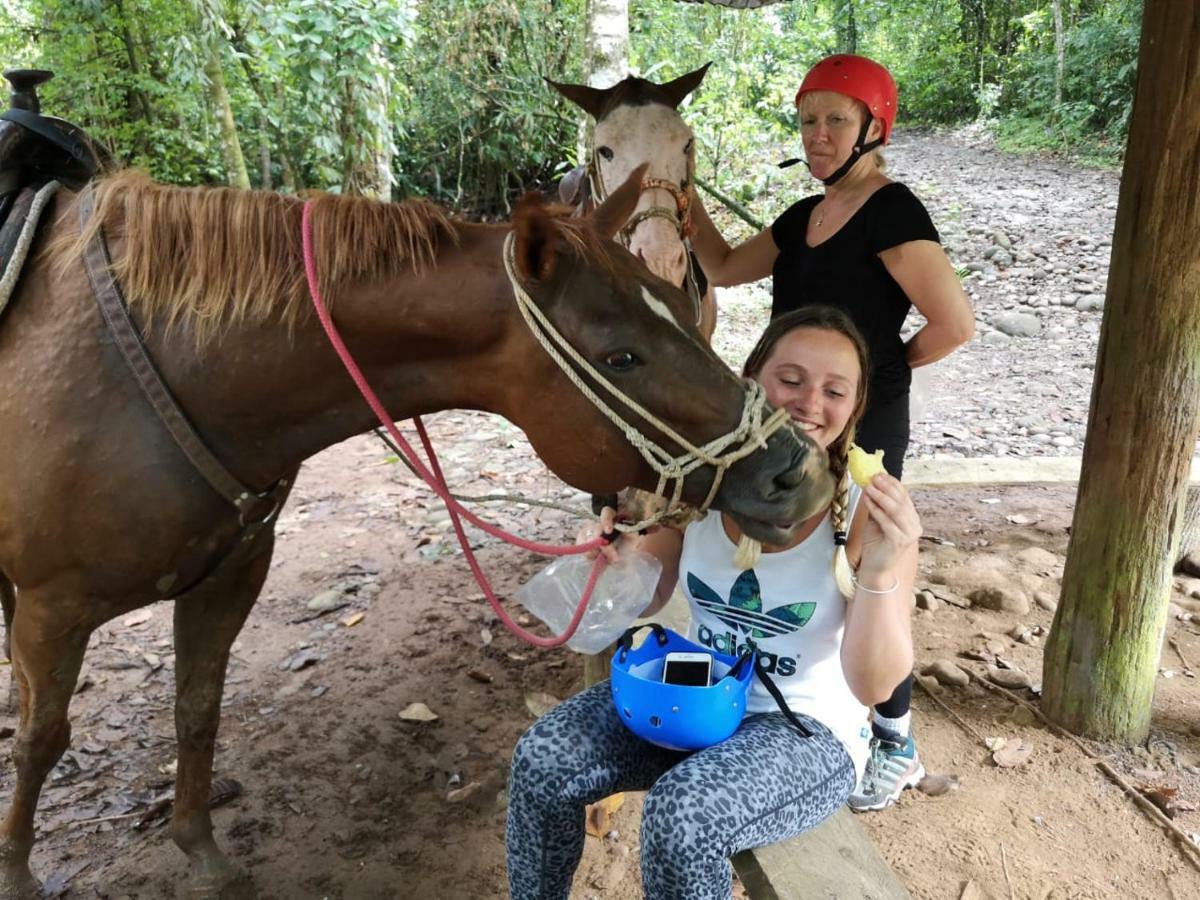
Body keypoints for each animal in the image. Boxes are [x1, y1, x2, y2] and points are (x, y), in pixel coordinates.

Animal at [0, 165, 835, 897]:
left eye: (679, 301)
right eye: (620, 356)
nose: (795, 470)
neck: (175, 373)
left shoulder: (233, 571)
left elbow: (197, 708)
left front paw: (199, 852)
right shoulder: (54, 604)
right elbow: (43, 740)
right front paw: (16, 873)